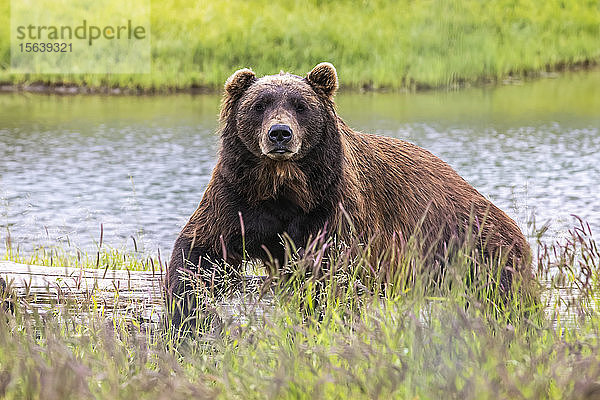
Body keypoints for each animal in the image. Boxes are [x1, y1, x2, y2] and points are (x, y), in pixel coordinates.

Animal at [166, 61, 532, 324]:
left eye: (300, 105)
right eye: (259, 104)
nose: (280, 133)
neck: (283, 184)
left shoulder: (331, 201)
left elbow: (331, 267)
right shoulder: (238, 193)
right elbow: (201, 250)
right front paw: (184, 317)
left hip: (469, 242)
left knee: (506, 293)